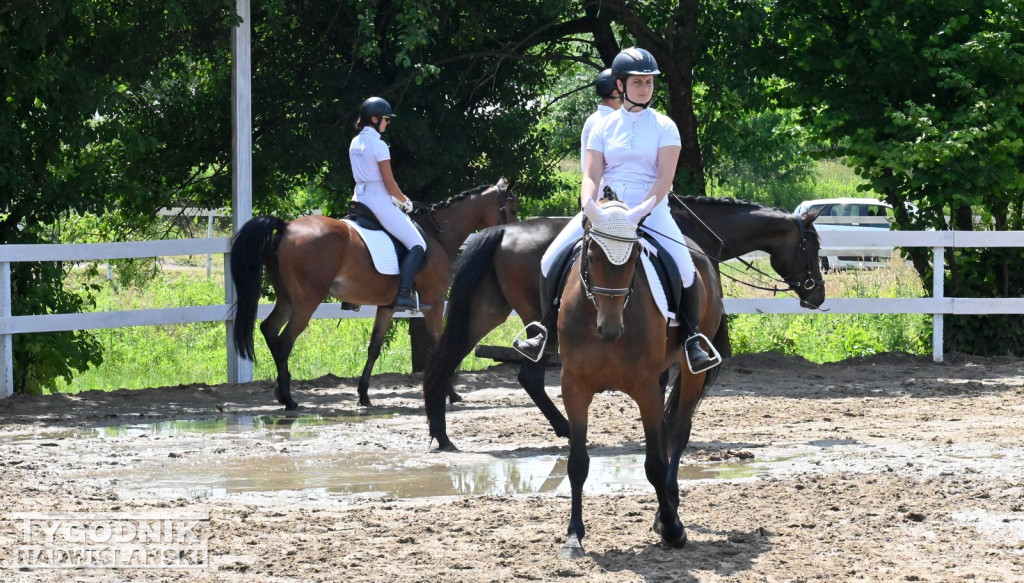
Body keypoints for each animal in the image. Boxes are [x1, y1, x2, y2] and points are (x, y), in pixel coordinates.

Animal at [234, 178, 520, 409]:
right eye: (513, 208)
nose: (515, 236)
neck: (438, 236)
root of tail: (286, 227)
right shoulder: (435, 302)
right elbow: (438, 344)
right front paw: (450, 393)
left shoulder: (388, 306)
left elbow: (374, 347)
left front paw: (363, 395)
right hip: (306, 301)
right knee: (284, 341)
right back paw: (289, 398)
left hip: (287, 299)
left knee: (270, 329)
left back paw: (281, 392)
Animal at [421, 195, 823, 450]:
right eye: (814, 246)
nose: (817, 294)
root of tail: (503, 232)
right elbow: (663, 381)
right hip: (533, 320)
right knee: (526, 376)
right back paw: (565, 429)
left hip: (487, 311)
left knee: (445, 360)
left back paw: (442, 434)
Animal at [557, 198, 724, 553]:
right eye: (591, 255)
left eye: (635, 258)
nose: (610, 329)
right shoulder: (574, 387)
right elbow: (577, 463)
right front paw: (574, 535)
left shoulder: (645, 388)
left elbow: (656, 464)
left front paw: (674, 529)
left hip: (689, 370)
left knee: (677, 431)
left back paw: (668, 511)